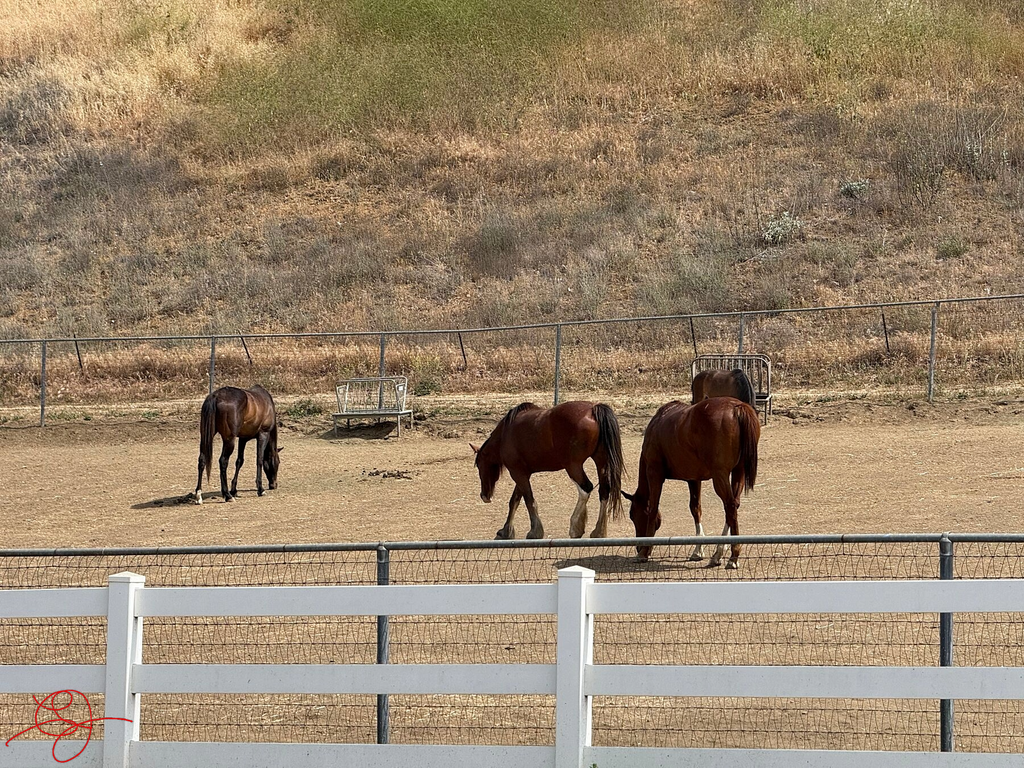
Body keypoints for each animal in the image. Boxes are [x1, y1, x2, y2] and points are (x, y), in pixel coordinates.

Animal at [471, 401, 625, 540]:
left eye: (479, 465)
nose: (483, 496)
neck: (505, 434)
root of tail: (593, 409)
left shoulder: (517, 473)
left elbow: (528, 500)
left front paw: (535, 532)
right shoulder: (523, 473)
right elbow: (514, 501)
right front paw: (505, 531)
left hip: (573, 466)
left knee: (586, 489)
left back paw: (575, 527)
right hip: (601, 462)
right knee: (604, 491)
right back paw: (598, 531)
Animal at [623, 397, 760, 568]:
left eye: (633, 515)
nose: (638, 546)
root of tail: (737, 407)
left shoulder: (654, 473)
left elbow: (653, 509)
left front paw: (644, 553)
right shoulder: (694, 479)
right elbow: (695, 509)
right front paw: (698, 550)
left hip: (720, 476)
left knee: (730, 506)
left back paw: (733, 556)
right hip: (738, 472)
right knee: (734, 505)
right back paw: (719, 552)